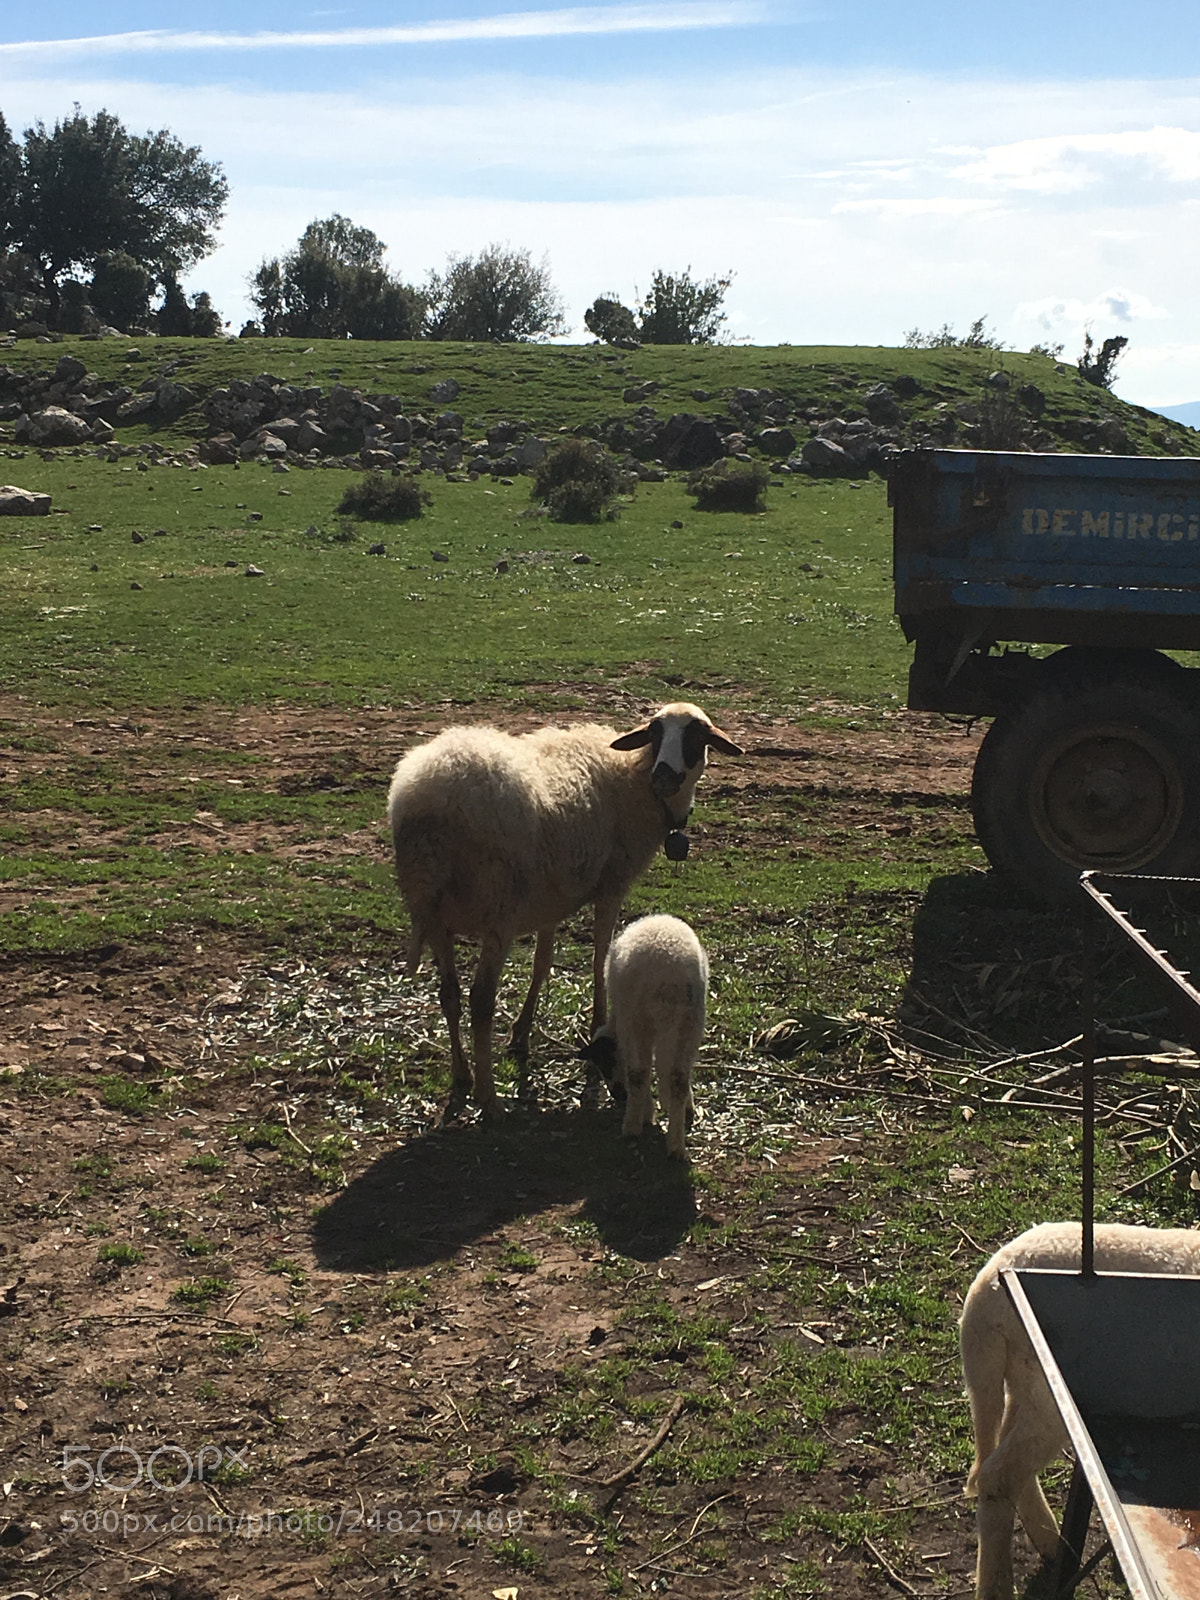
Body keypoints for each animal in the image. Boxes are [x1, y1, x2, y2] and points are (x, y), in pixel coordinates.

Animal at [387, 702, 740, 1118]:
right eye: (655, 732)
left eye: (697, 735)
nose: (664, 778)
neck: (634, 776)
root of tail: (424, 800)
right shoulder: (611, 886)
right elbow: (600, 959)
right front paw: (597, 1028)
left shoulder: (550, 897)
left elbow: (542, 963)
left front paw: (521, 1034)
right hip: (498, 908)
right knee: (480, 1000)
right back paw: (488, 1097)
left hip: (435, 913)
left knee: (450, 995)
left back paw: (462, 1076)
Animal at [583, 914, 708, 1159]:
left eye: (606, 1063)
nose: (618, 1095)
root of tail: (670, 976)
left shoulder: (626, 1027)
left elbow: (640, 1071)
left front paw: (646, 1113)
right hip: (689, 1022)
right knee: (678, 1077)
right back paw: (676, 1146)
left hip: (637, 1020)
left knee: (638, 1073)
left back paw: (632, 1126)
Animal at [960, 1220, 1200, 1600]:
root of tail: (982, 1293)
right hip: (1046, 1392)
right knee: (999, 1473)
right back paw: (999, 1587)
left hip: (1023, 1384)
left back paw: (1048, 1543)